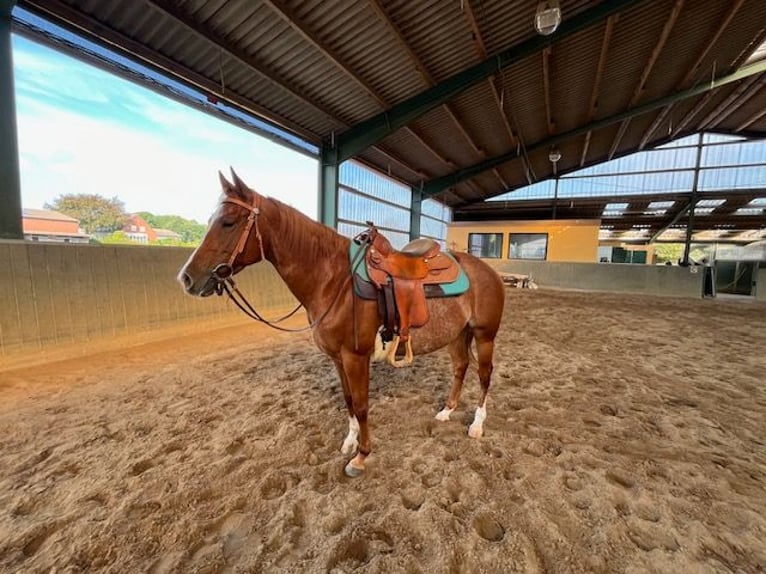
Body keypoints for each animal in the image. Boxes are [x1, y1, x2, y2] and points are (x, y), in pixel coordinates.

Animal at [177, 169, 508, 480]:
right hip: (457, 335)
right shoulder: (338, 358)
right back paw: (447, 411)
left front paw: (361, 456)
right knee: (460, 367)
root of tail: (487, 270)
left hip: (484, 335)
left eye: (228, 222)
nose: (187, 278)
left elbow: (361, 404)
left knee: (484, 374)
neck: (334, 280)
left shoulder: (355, 357)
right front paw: (349, 442)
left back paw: (476, 425)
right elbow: (348, 400)